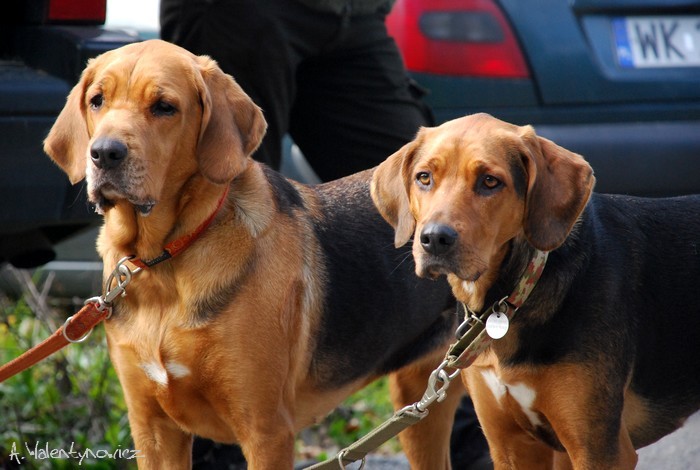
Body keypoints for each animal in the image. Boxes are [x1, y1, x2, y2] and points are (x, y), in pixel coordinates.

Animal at [42, 38, 464, 468]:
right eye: (97, 100)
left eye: (164, 107)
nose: (104, 153)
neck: (166, 260)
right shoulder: (153, 430)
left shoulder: (266, 432)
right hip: (418, 402)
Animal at [374, 113, 700, 466]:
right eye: (424, 177)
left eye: (490, 182)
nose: (434, 238)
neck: (515, 295)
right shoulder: (511, 445)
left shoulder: (600, 450)